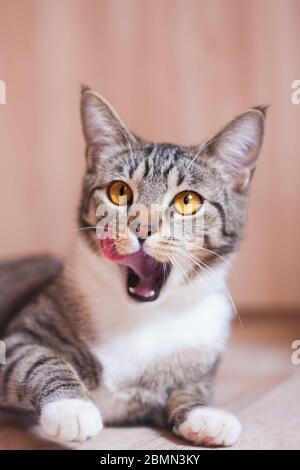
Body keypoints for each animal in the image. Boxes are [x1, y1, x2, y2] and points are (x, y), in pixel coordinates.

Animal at [0, 88, 266, 448]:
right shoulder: (18, 339)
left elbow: (193, 387)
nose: (142, 228)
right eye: (119, 191)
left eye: (188, 201)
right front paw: (71, 408)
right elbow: (40, 359)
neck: (144, 318)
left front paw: (205, 414)